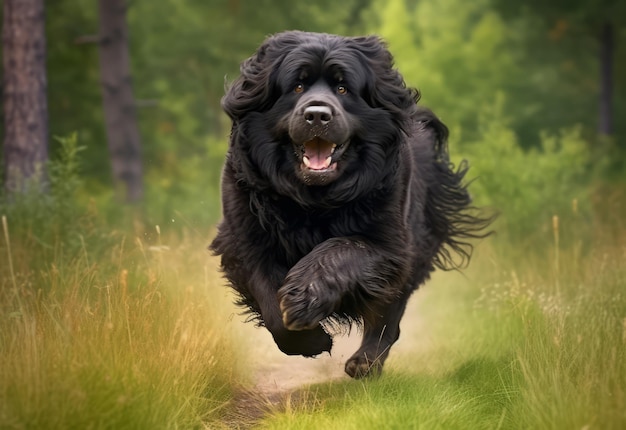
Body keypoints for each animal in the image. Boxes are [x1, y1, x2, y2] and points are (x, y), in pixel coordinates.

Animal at [210, 31, 488, 376]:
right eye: (297, 86)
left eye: (343, 88)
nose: (317, 115)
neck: (311, 200)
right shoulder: (246, 240)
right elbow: (270, 302)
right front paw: (308, 340)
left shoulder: (390, 245)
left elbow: (341, 250)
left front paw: (304, 295)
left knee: (387, 317)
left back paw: (365, 361)